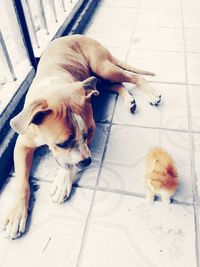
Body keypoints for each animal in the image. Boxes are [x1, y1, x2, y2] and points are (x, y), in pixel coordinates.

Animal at [1, 35, 161, 239]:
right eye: (62, 143)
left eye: (89, 133)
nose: (87, 162)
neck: (54, 87)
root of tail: (82, 36)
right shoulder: (22, 145)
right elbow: (21, 181)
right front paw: (16, 214)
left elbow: (67, 164)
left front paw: (62, 181)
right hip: (101, 80)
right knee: (117, 85)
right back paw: (129, 101)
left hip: (103, 67)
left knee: (133, 77)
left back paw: (151, 94)